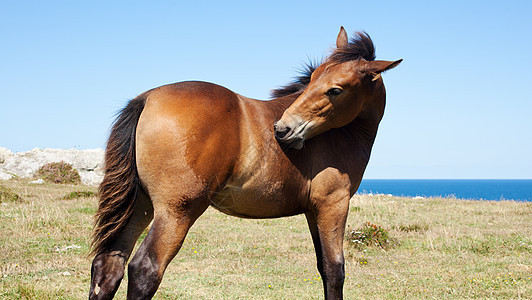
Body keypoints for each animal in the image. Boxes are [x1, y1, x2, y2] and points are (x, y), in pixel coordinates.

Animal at [89, 27, 402, 298]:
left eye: (335, 89)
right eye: (312, 78)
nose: (283, 129)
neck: (341, 133)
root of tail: (146, 99)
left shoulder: (313, 212)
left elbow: (323, 267)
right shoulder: (333, 204)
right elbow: (335, 270)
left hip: (140, 206)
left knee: (108, 265)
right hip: (176, 212)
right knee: (144, 268)